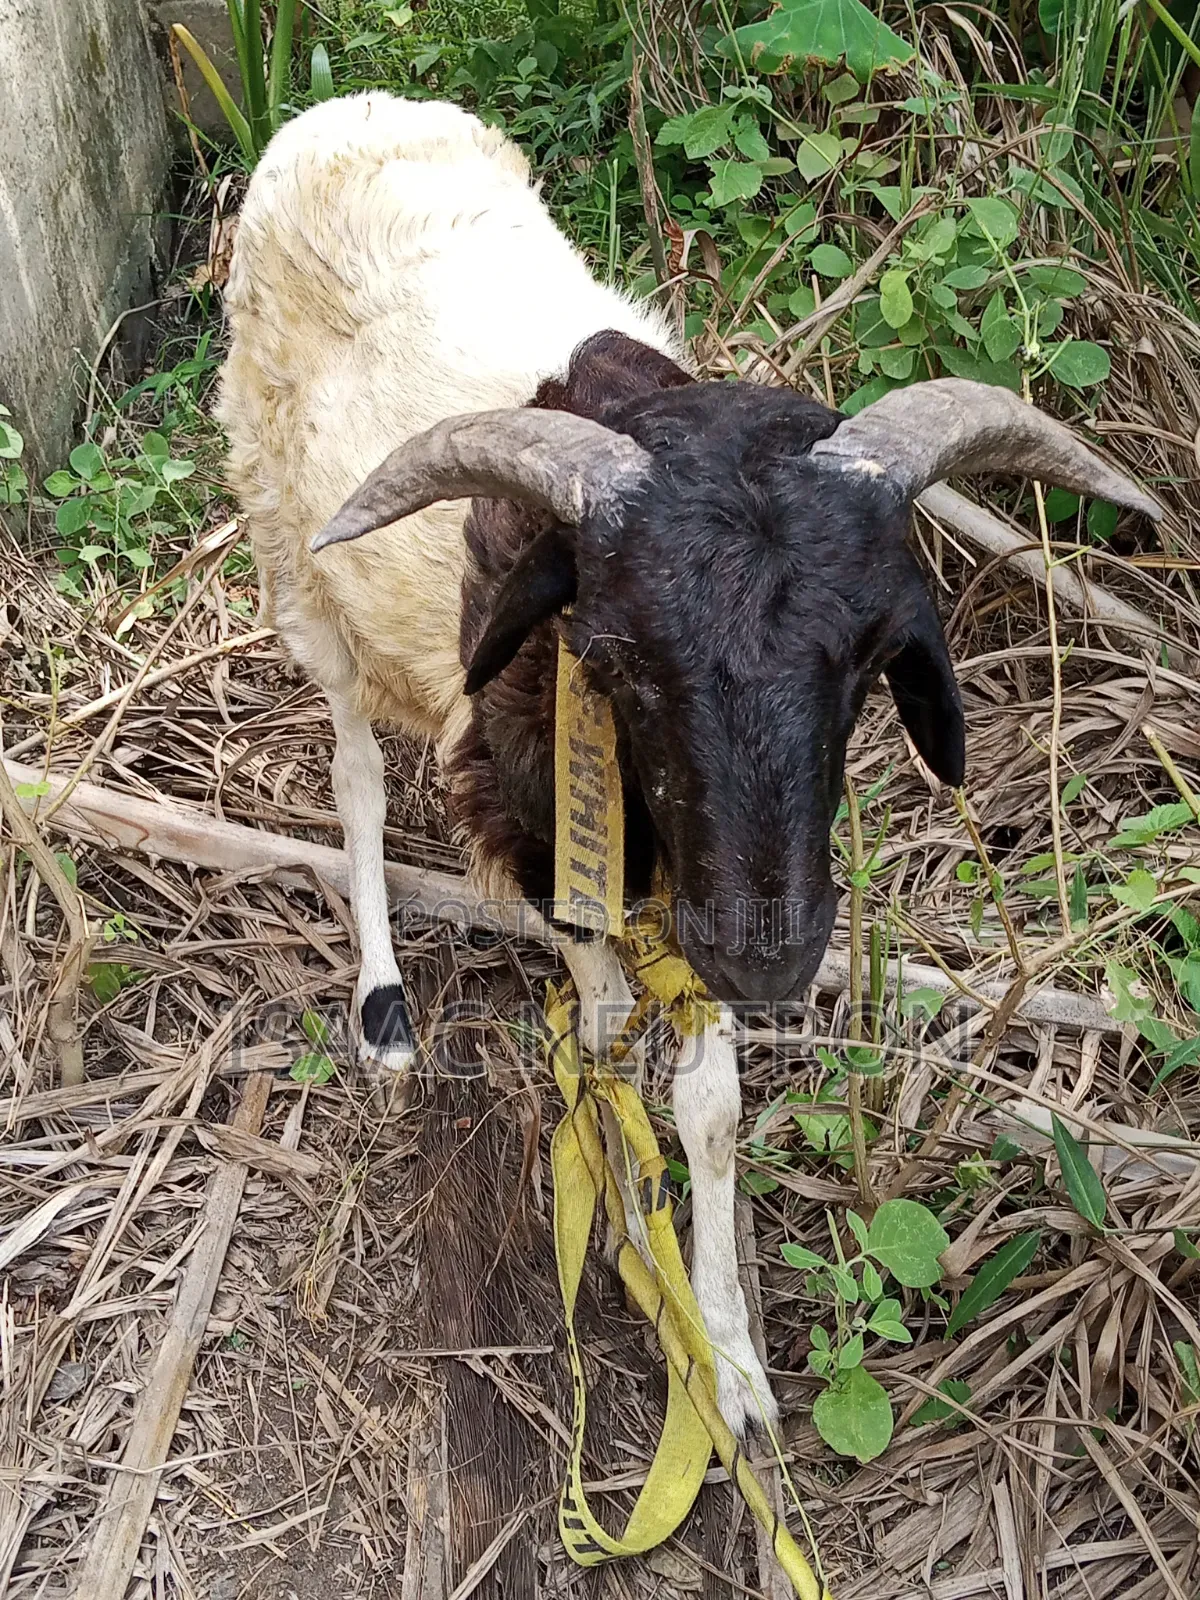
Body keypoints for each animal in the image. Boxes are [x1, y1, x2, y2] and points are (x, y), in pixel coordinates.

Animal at [218, 89, 1160, 1436]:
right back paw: (384, 1003)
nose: (769, 953)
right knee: (352, 763)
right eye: (617, 657)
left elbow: (709, 1108)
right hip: (295, 558)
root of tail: (347, 105)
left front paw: (731, 1360)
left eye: (872, 662)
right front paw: (628, 1227)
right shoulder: (544, 832)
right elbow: (609, 1032)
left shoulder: (712, 879)